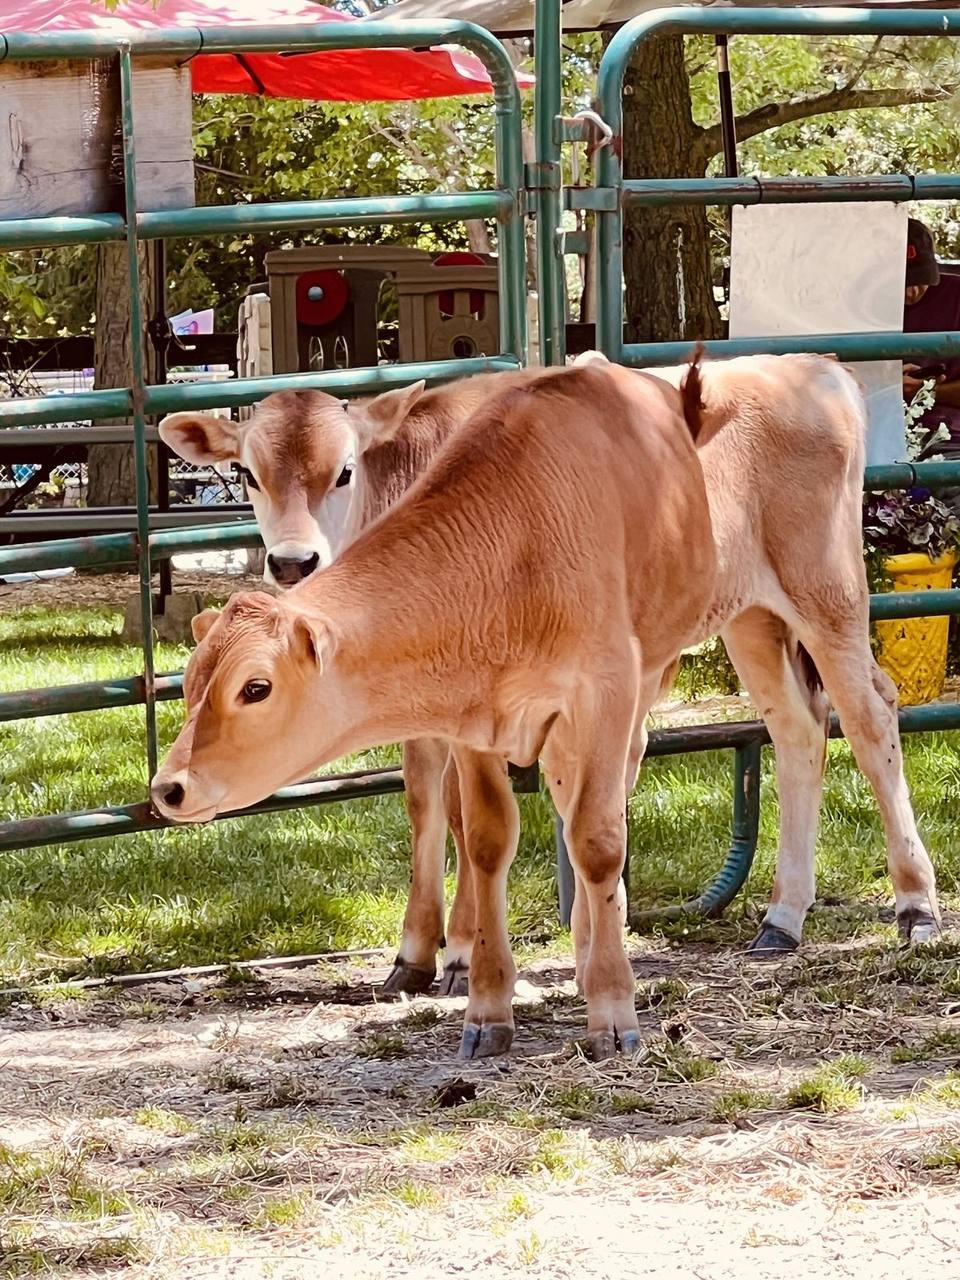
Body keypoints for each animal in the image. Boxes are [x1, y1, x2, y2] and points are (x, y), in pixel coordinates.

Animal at [152, 360, 719, 1058]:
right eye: (187, 684)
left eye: (254, 687)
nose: (169, 788)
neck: (514, 551)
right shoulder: (472, 714)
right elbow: (480, 835)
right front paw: (485, 1003)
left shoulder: (604, 691)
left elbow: (597, 839)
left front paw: (611, 1010)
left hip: (649, 678)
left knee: (602, 806)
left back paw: (590, 957)